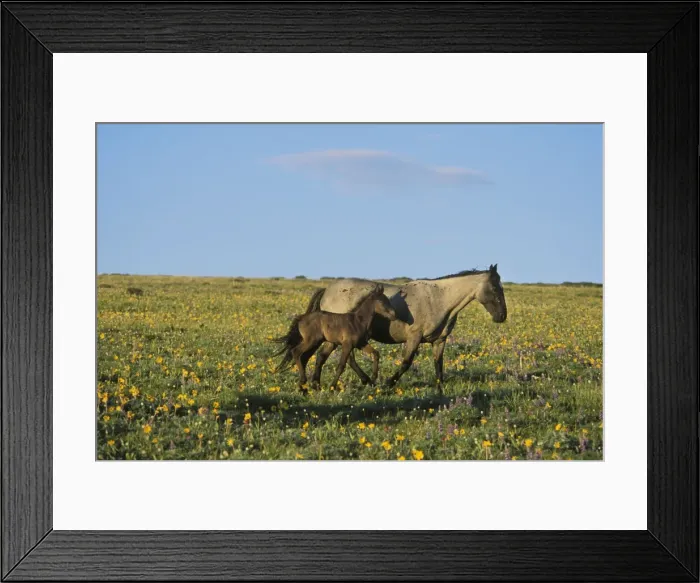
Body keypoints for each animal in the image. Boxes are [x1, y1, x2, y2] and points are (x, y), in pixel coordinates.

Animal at [304, 264, 507, 391]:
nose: (502, 316)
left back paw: (318, 384)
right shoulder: (414, 338)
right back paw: (365, 381)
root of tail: (327, 290)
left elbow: (439, 365)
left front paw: (440, 390)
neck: (439, 299)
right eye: (495, 288)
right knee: (345, 358)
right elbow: (406, 363)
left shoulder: (439, 340)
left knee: (323, 356)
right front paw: (388, 383)